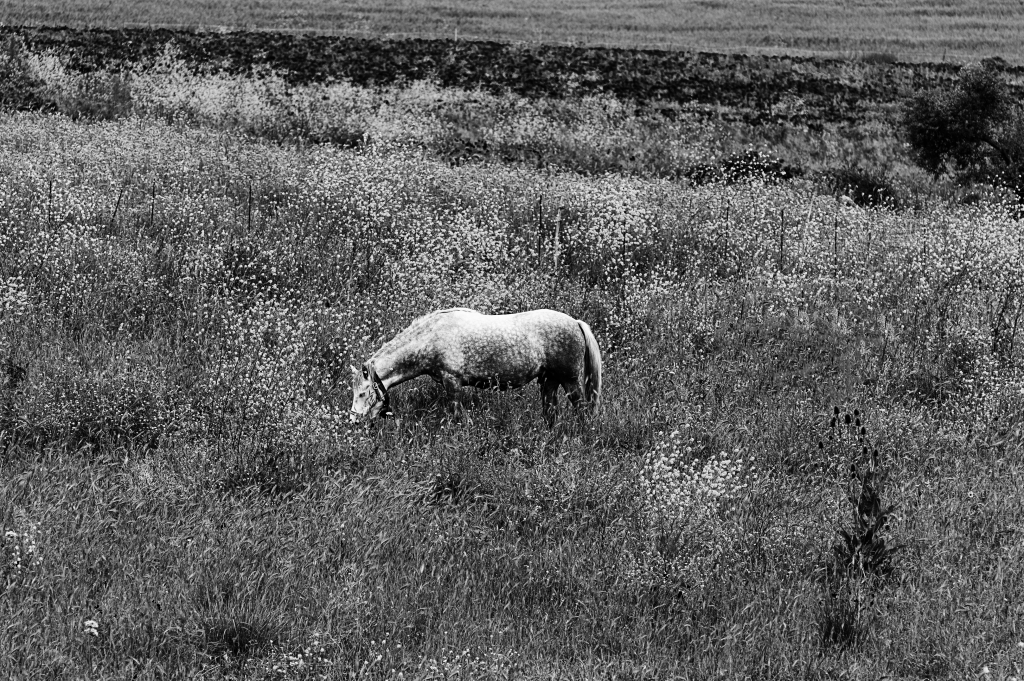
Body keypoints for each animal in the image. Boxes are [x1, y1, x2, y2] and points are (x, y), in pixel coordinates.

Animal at [349, 308, 602, 425]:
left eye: (362, 393)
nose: (353, 420)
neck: (431, 338)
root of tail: (576, 323)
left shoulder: (452, 383)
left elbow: (458, 416)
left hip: (569, 381)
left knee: (583, 411)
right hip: (549, 381)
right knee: (550, 414)